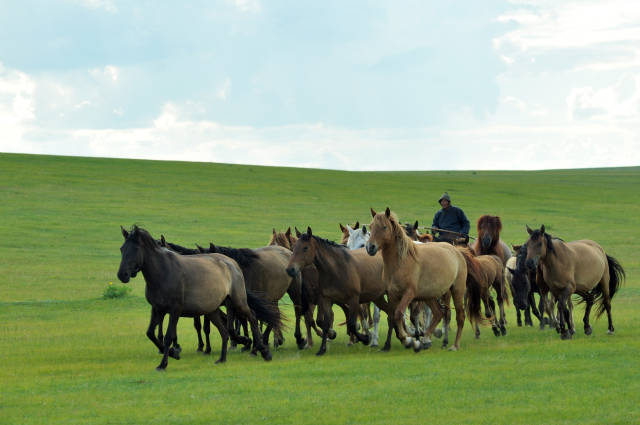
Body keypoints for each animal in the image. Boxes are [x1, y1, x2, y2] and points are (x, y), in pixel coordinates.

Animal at [119, 225, 278, 368]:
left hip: (237, 302)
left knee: (251, 317)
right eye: (122, 249)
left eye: (135, 249)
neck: (163, 273)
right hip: (213, 310)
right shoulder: (157, 309)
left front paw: (164, 363)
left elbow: (169, 336)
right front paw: (174, 353)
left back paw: (262, 351)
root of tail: (232, 263)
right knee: (225, 331)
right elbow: (151, 333)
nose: (122, 275)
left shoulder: (175, 310)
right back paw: (223, 358)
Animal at [364, 208, 480, 352]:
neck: (401, 262)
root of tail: (457, 251)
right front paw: (402, 341)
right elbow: (392, 317)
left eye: (384, 227)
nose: (370, 247)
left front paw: (407, 340)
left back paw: (454, 345)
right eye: (371, 226)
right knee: (438, 313)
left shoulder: (409, 294)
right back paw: (425, 339)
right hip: (429, 295)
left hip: (456, 290)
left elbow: (398, 314)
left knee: (459, 316)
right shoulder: (392, 294)